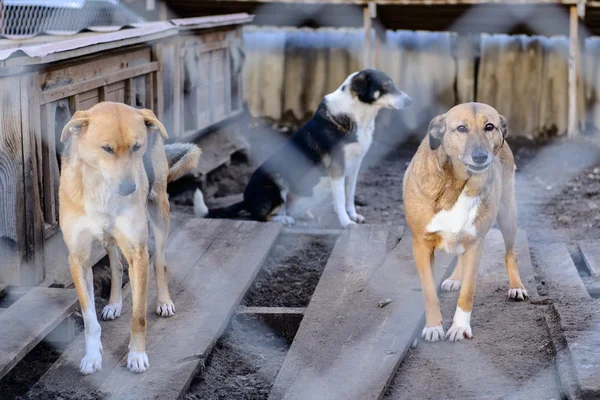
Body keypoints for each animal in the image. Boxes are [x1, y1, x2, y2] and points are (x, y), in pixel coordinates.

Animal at [60, 102, 202, 376]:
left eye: (137, 147)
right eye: (106, 149)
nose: (130, 189)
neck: (100, 189)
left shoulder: (138, 252)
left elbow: (138, 317)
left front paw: (136, 355)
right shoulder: (77, 259)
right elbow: (89, 318)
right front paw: (92, 357)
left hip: (160, 210)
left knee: (159, 261)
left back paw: (164, 301)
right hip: (110, 239)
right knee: (115, 265)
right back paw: (114, 303)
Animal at [195, 69, 410, 228]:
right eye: (386, 86)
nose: (410, 101)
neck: (357, 114)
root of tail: (246, 200)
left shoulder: (354, 167)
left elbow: (349, 196)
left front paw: (353, 216)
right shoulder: (337, 169)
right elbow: (340, 199)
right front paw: (346, 222)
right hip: (276, 182)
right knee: (261, 216)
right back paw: (284, 218)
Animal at [406, 101, 528, 342]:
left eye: (489, 127)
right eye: (461, 128)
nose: (480, 156)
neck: (458, 182)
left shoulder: (476, 243)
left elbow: (468, 293)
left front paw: (460, 327)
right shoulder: (420, 245)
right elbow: (429, 292)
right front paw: (433, 327)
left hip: (508, 214)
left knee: (510, 254)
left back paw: (516, 286)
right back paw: (455, 278)